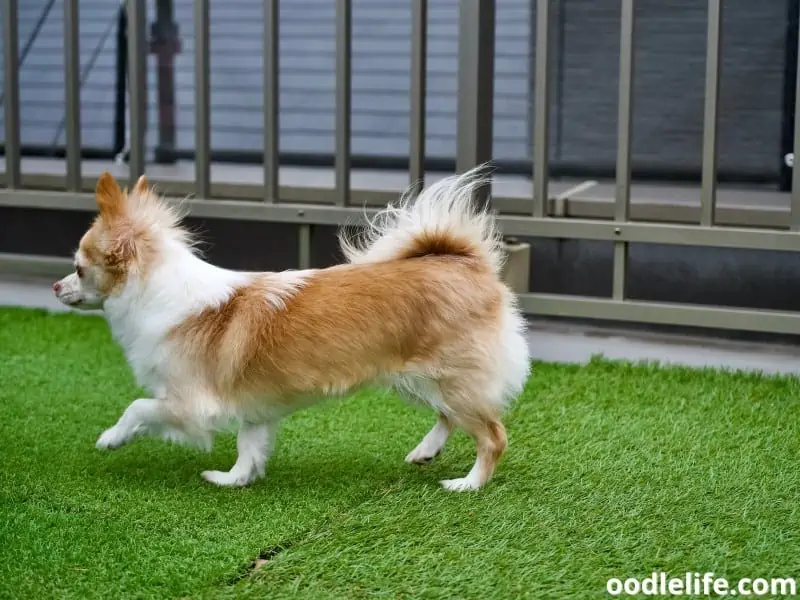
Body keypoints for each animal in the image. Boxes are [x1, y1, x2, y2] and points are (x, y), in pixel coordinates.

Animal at [54, 166, 532, 490]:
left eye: (78, 268)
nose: (56, 286)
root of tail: (464, 261)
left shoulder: (191, 405)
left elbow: (137, 407)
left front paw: (110, 438)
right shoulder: (251, 406)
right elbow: (248, 448)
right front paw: (233, 480)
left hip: (447, 377)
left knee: (492, 435)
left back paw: (468, 484)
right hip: (418, 379)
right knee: (451, 416)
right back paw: (426, 451)